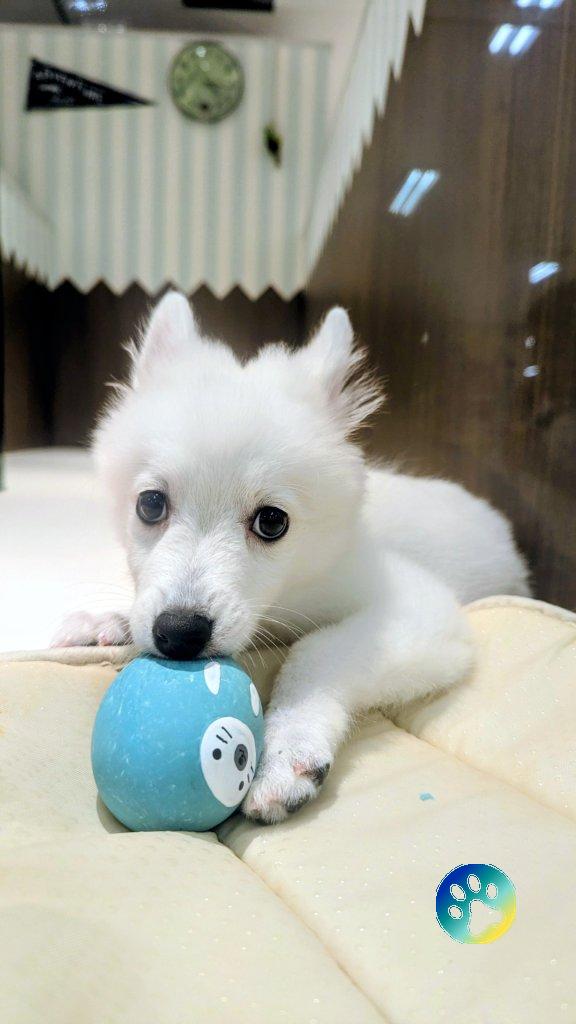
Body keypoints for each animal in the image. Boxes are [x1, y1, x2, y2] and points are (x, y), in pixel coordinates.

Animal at [53, 291, 530, 823]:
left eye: (272, 522)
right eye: (150, 504)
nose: (178, 633)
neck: (285, 598)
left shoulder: (421, 610)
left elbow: (315, 650)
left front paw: (287, 750)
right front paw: (108, 620)